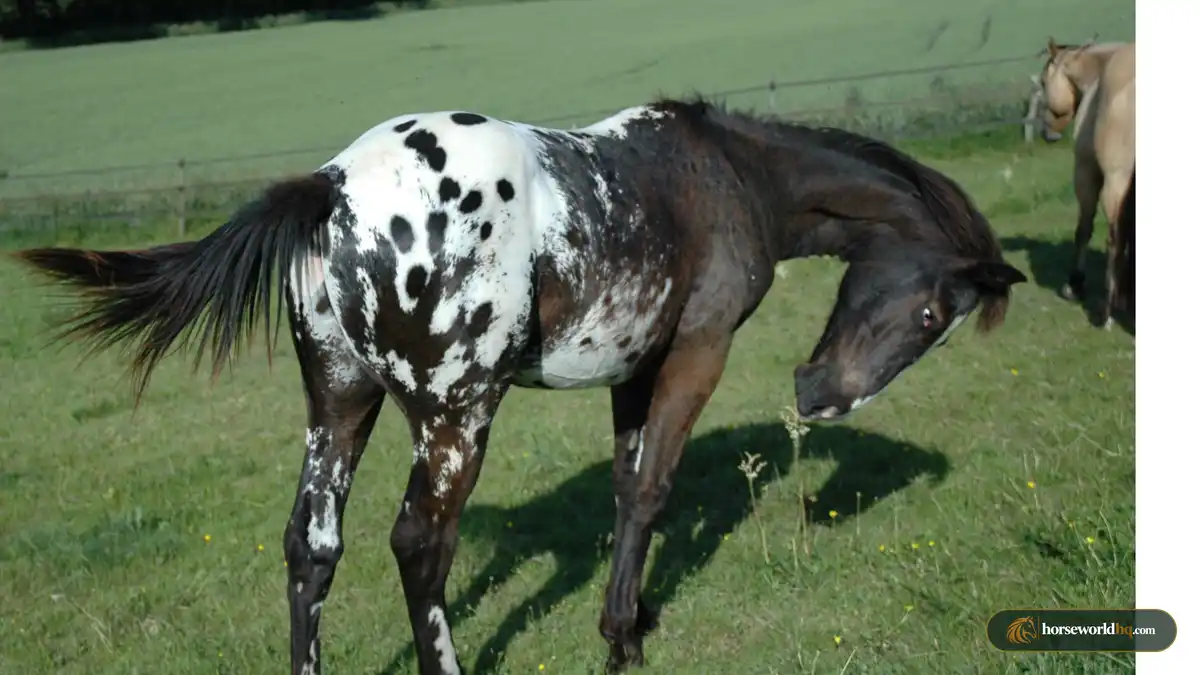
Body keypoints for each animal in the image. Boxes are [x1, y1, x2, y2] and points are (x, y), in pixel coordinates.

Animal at [12, 95, 1027, 675]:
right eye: (930, 317)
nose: (819, 396)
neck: (726, 173)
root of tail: (332, 187)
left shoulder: (633, 367)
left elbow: (624, 488)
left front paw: (632, 620)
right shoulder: (694, 354)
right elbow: (652, 489)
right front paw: (621, 639)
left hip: (340, 403)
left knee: (313, 545)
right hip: (458, 413)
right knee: (419, 543)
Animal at [1036, 37, 1136, 329]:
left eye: (1043, 83)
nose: (1047, 132)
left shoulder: (1086, 173)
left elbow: (1084, 229)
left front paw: (1075, 284)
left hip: (1114, 182)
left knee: (1114, 240)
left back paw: (1106, 313)